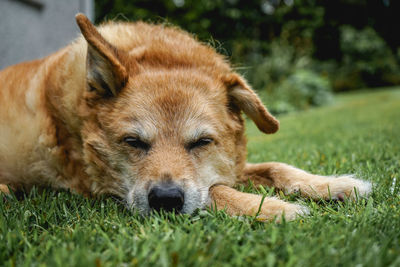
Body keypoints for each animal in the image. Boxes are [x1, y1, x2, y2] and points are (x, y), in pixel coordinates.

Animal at [0, 14, 372, 222]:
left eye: (201, 142)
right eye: (133, 142)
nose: (165, 200)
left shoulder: (228, 165)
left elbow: (276, 167)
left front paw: (332, 184)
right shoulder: (99, 188)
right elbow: (215, 191)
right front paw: (274, 208)